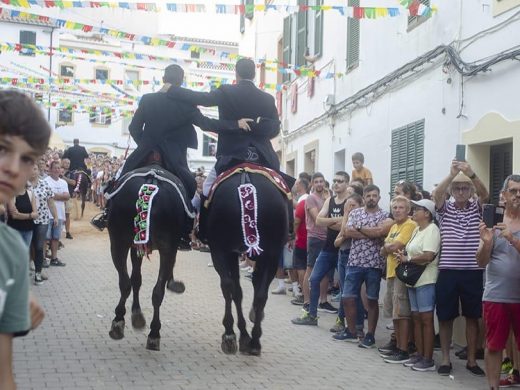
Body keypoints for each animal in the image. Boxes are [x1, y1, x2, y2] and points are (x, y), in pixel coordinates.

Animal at [104, 163, 188, 352]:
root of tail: (151, 182)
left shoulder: (138, 247)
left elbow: (136, 279)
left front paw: (136, 313)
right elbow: (139, 280)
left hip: (118, 242)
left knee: (126, 283)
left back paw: (119, 322)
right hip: (165, 249)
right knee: (155, 292)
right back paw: (153, 333)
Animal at [207, 172, 288, 354]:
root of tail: (246, 183)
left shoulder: (231, 253)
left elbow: (237, 290)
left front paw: (242, 333)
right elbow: (248, 289)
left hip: (220, 250)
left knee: (228, 286)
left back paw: (231, 334)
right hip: (270, 255)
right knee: (260, 294)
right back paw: (254, 341)